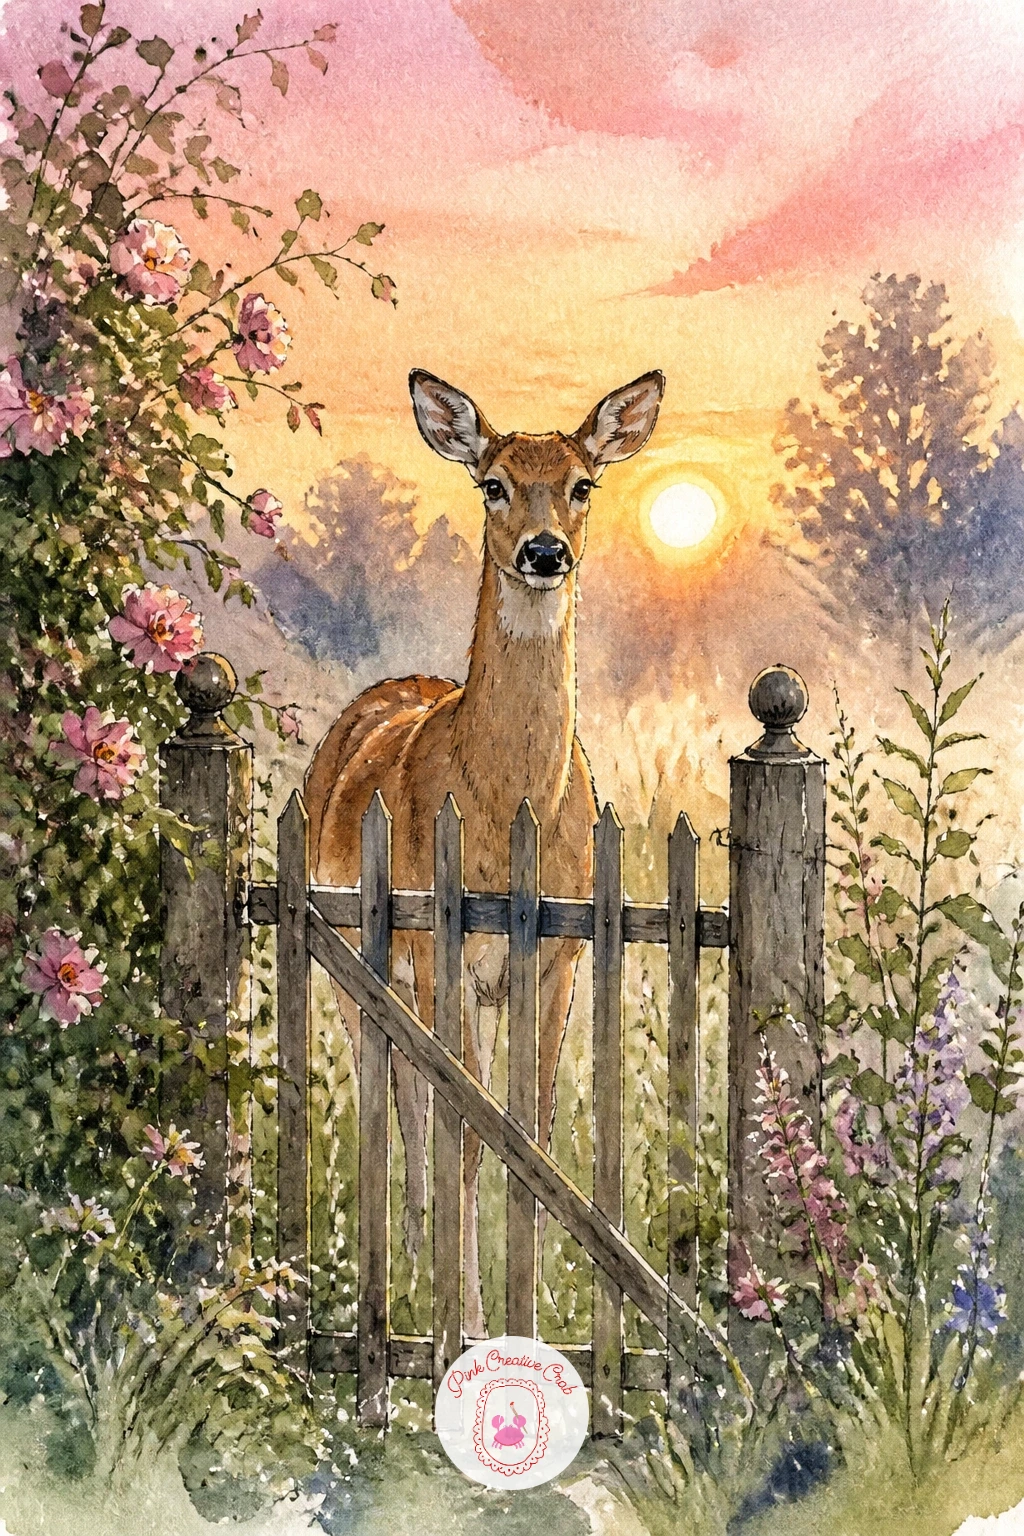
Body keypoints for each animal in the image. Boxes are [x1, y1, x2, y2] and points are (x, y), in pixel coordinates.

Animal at [303, 368, 664, 1338]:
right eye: (492, 483)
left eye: (583, 484)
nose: (544, 552)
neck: (507, 806)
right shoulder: (446, 955)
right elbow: (463, 1129)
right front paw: (464, 1318)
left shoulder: (556, 961)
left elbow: (528, 1133)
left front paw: (526, 1312)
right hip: (358, 960)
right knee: (399, 1096)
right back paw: (409, 1262)